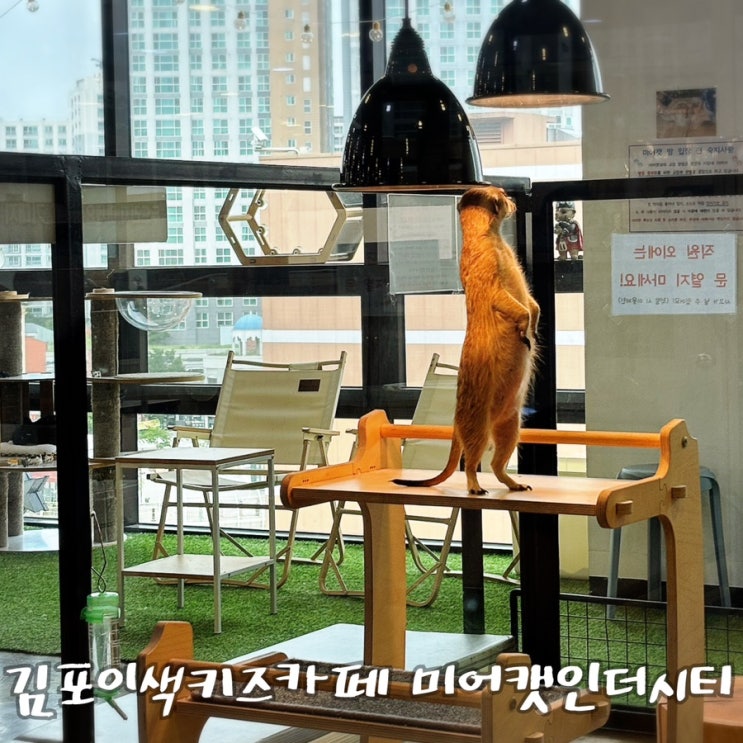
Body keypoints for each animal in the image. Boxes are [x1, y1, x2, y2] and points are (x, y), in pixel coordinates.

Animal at [394, 185, 539, 493]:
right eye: (503, 194)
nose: (513, 201)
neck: (488, 238)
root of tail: (457, 423)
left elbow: (531, 302)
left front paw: (534, 319)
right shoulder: (487, 267)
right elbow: (503, 299)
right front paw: (525, 327)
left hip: (511, 420)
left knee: (499, 456)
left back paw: (512, 482)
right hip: (477, 420)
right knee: (474, 453)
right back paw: (474, 484)